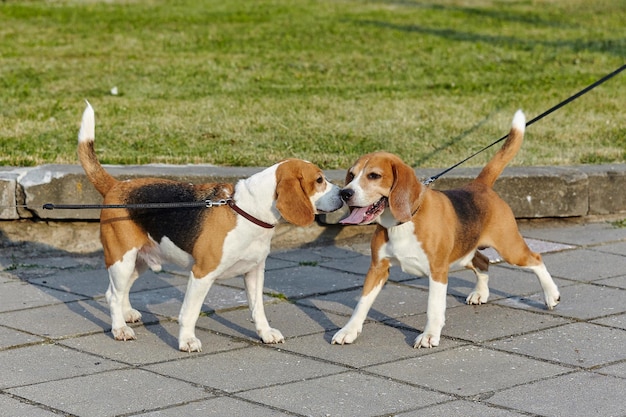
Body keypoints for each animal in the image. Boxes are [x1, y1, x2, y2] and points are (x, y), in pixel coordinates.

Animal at [77, 102, 344, 350]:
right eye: (319, 180)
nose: (344, 194)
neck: (246, 210)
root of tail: (117, 185)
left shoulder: (255, 271)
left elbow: (258, 308)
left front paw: (265, 333)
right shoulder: (202, 274)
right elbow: (189, 313)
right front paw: (187, 341)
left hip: (139, 259)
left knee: (118, 291)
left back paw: (127, 315)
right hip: (122, 259)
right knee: (113, 295)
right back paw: (119, 328)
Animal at [334, 110, 560, 348]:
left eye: (374, 175)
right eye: (352, 175)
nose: (345, 193)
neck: (403, 223)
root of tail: (479, 185)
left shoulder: (438, 271)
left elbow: (434, 308)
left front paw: (429, 335)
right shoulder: (377, 268)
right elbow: (362, 304)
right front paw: (348, 331)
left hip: (509, 248)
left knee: (535, 259)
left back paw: (551, 295)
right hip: (463, 253)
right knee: (483, 261)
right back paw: (480, 293)